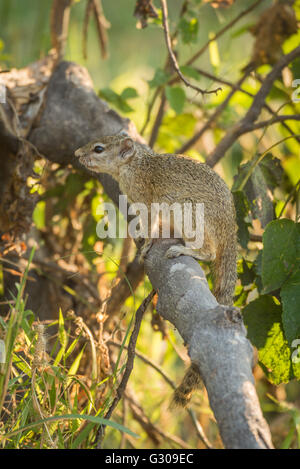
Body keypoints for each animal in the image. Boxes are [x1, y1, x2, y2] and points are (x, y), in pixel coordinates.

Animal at [74, 132, 237, 406]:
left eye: (98, 149)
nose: (77, 154)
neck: (134, 165)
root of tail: (228, 230)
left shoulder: (146, 200)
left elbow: (150, 222)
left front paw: (147, 242)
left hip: (189, 215)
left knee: (210, 252)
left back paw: (185, 250)